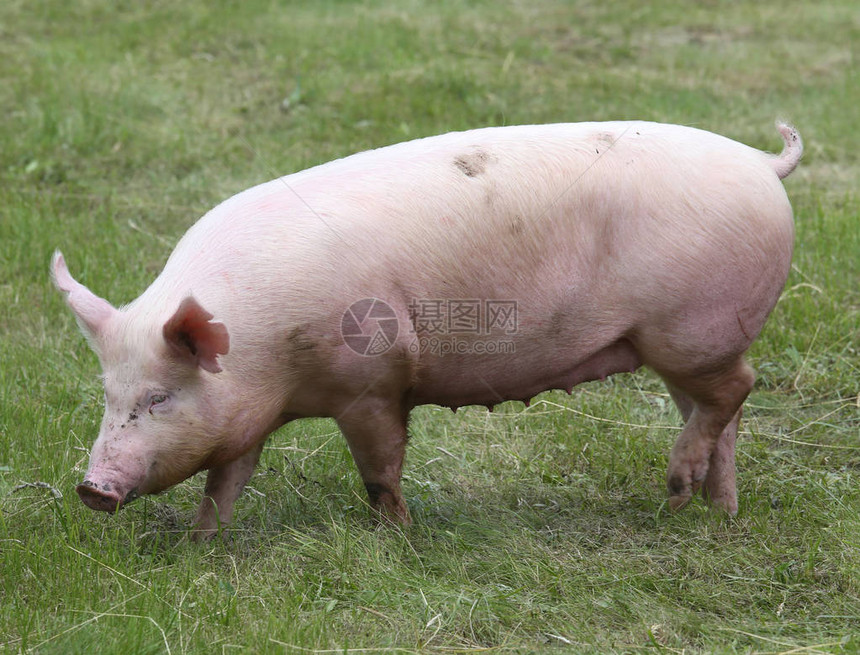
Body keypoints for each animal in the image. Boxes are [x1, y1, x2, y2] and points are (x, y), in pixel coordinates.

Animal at [53, 121, 800, 540]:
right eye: (109, 397)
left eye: (158, 398)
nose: (92, 488)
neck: (268, 357)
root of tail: (763, 163)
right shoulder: (247, 414)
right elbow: (226, 479)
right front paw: (202, 546)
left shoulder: (375, 380)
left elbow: (379, 469)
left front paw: (399, 537)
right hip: (685, 346)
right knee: (720, 414)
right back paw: (709, 512)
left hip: (692, 331)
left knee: (740, 386)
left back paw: (679, 491)